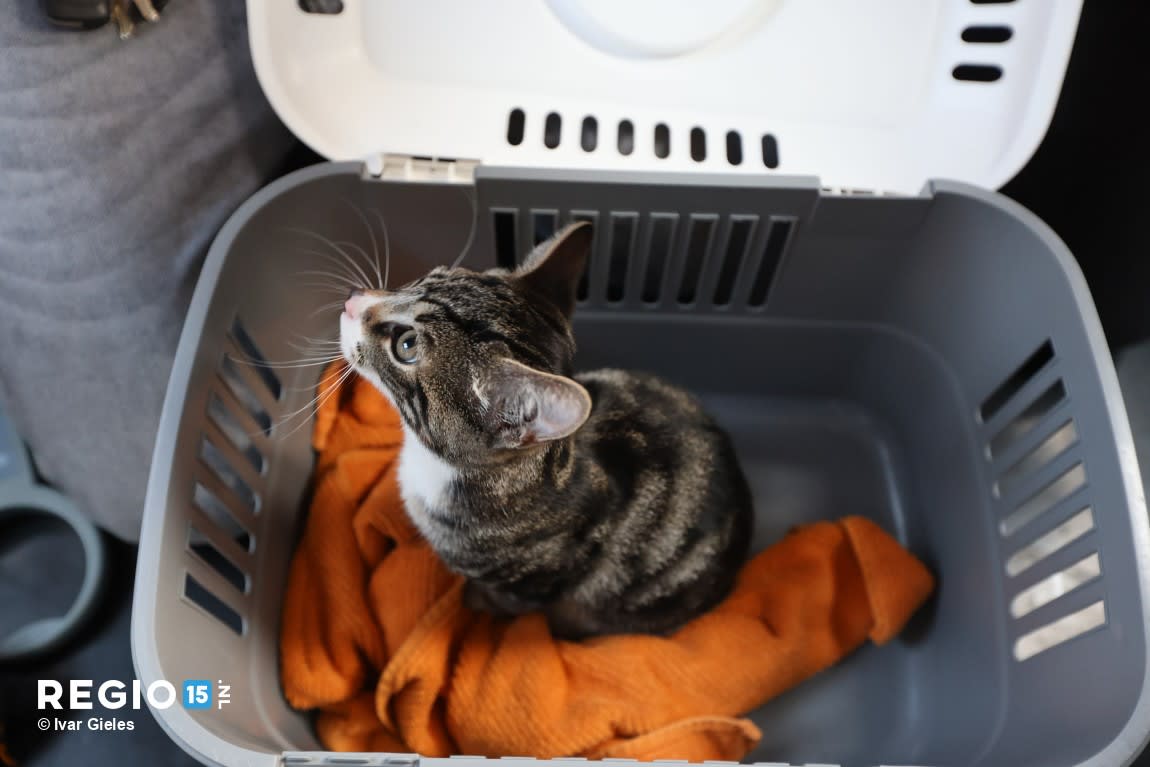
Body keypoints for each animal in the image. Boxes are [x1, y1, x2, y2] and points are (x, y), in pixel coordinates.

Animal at [340, 221, 754, 643]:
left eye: (405, 346)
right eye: (424, 278)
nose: (353, 300)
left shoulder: (530, 584)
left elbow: (504, 599)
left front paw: (473, 602)